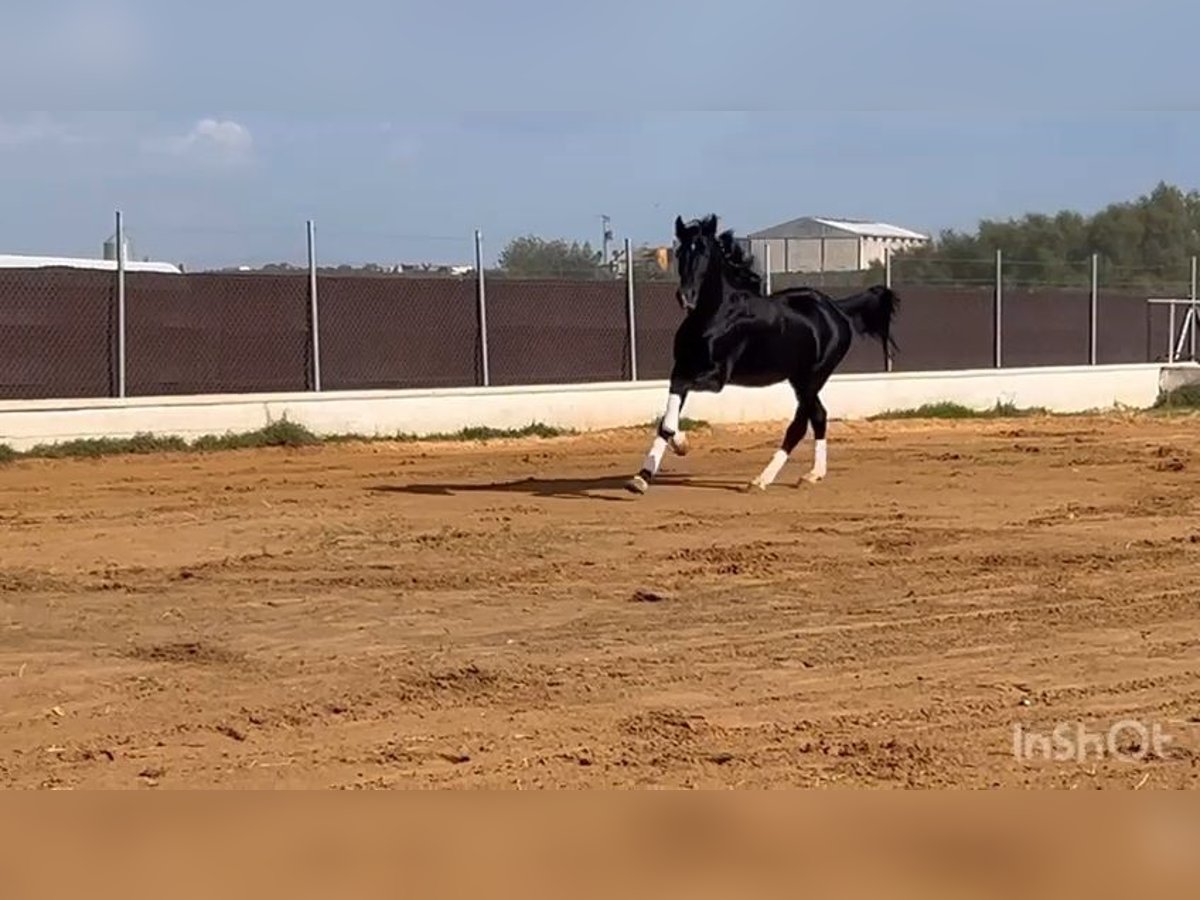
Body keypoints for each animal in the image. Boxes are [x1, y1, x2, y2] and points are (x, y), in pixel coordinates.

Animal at [628, 214, 902, 496]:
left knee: (800, 425)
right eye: (681, 252)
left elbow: (669, 419)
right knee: (819, 416)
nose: (686, 297)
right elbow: (667, 417)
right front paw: (643, 476)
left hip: (812, 378)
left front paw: (679, 445)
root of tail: (836, 308)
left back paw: (761, 480)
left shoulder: (714, 377)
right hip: (799, 379)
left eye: (703, 251)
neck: (715, 314)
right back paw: (812, 475)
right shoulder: (682, 367)